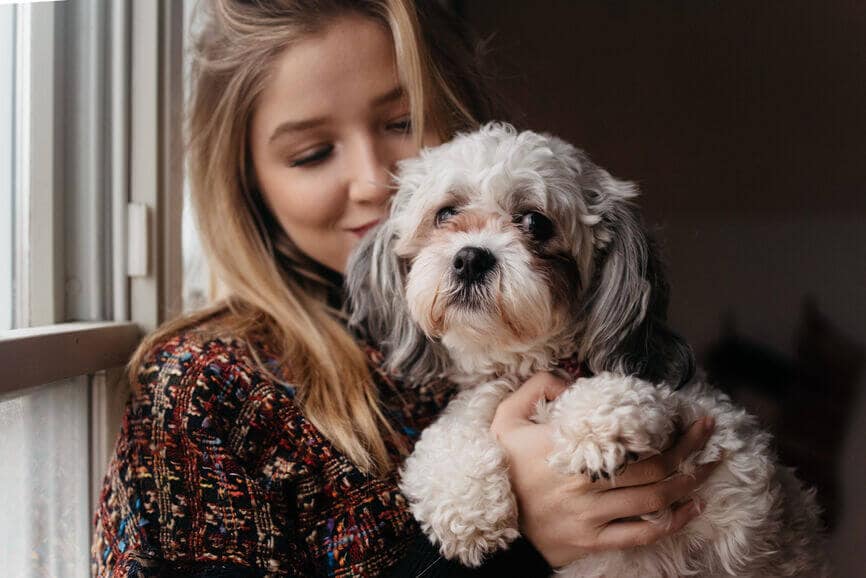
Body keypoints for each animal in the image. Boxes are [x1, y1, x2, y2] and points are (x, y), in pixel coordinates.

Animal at [346, 122, 824, 576]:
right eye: (445, 213)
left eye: (535, 222)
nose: (470, 258)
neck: (530, 361)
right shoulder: (486, 394)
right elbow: (450, 432)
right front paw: (468, 508)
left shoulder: (712, 430)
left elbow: (643, 393)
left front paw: (596, 427)